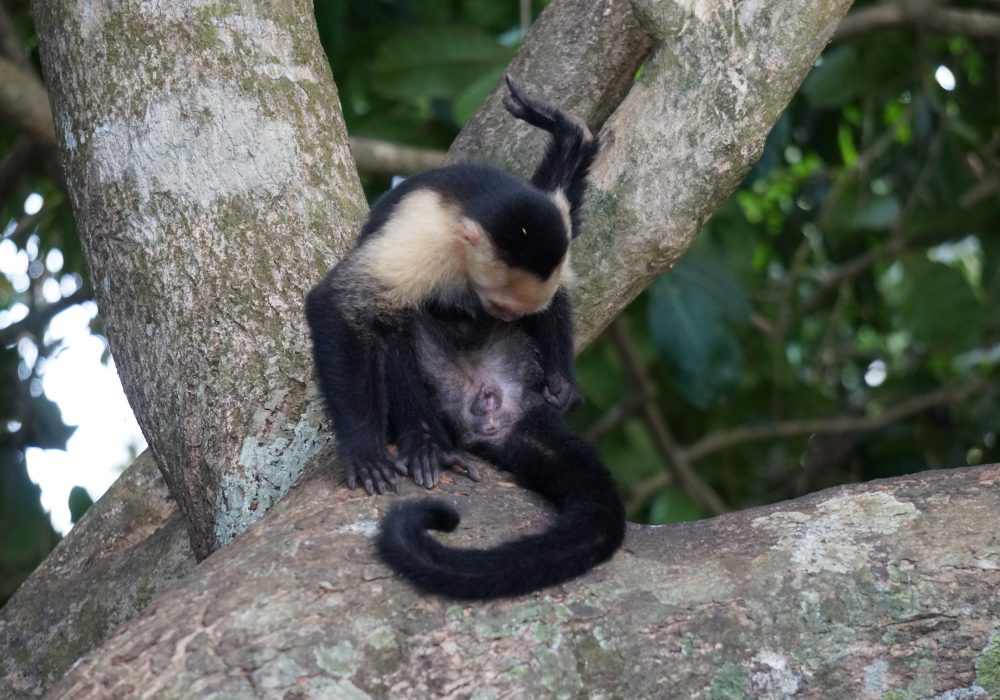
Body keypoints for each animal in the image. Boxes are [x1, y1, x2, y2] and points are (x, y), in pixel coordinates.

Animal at [304, 75, 596, 492]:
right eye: (498, 308)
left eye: (509, 315)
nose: (504, 321)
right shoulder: (428, 239)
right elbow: (337, 302)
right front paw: (363, 447)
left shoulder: (553, 233)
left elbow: (558, 293)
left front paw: (562, 382)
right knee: (394, 320)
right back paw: (427, 444)